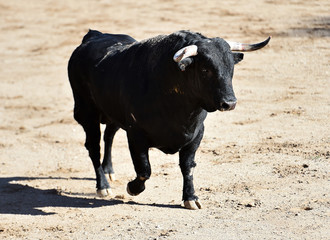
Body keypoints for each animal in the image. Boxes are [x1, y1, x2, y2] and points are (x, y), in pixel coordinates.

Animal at [67, 30, 270, 209]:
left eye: (231, 68)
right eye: (205, 69)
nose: (229, 103)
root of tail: (94, 35)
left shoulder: (196, 134)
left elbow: (188, 167)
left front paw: (191, 198)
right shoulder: (135, 134)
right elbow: (144, 170)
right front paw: (133, 188)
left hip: (112, 114)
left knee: (108, 136)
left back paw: (109, 171)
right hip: (87, 113)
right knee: (94, 147)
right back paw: (103, 186)